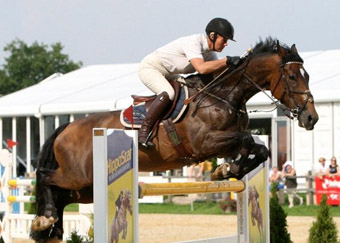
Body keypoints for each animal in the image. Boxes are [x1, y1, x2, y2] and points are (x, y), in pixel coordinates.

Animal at [29, 37, 318, 242]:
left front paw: (227, 170)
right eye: (292, 76)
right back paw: (45, 220)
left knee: (60, 195)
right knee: (44, 176)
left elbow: (259, 150)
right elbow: (247, 140)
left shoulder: (221, 143)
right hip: (76, 175)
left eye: (307, 75)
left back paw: (49, 225)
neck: (223, 95)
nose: (311, 118)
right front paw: (228, 168)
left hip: (85, 188)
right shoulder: (205, 143)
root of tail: (67, 127)